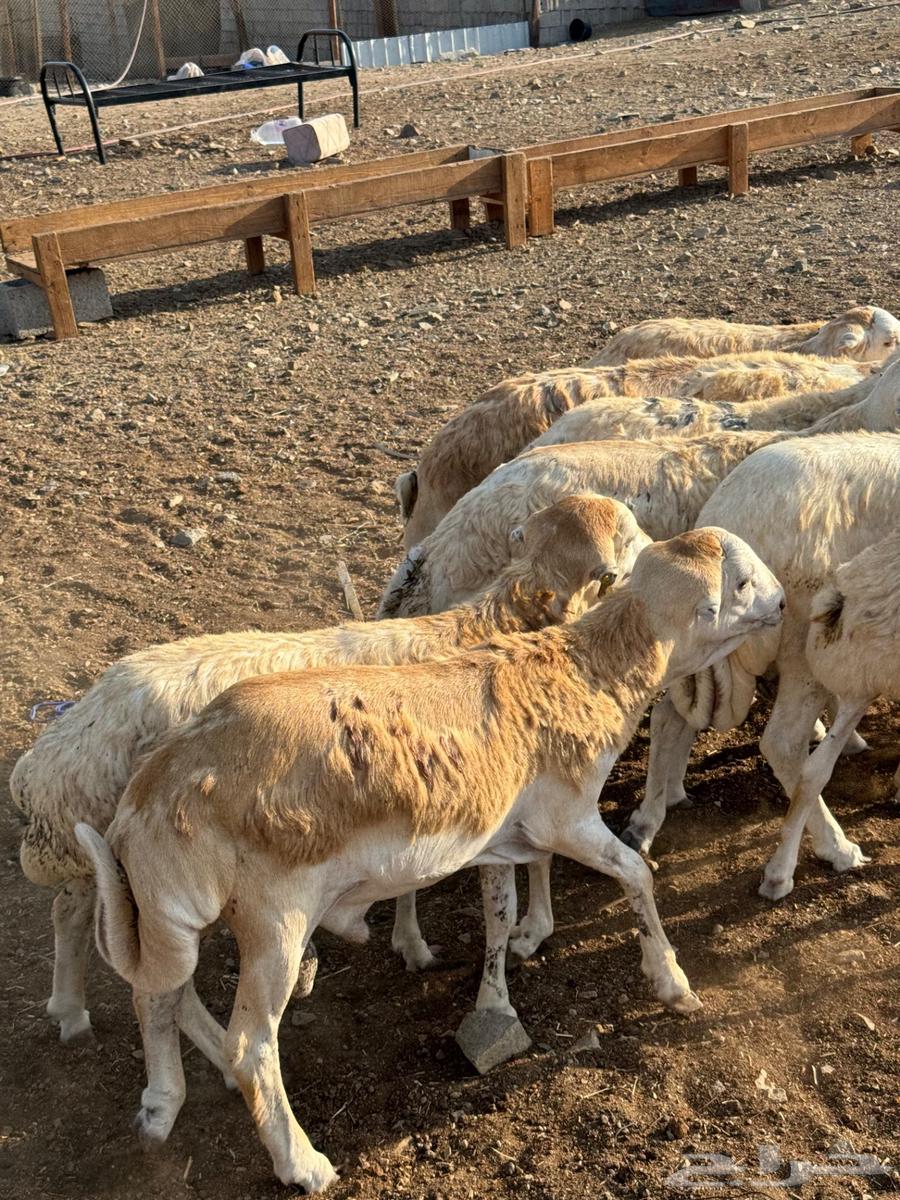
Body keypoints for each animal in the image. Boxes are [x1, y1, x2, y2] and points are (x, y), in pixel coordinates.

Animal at [11, 497, 638, 1046]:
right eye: (631, 536)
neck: (496, 622)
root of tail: (67, 743)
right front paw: (472, 965)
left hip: (110, 857)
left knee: (71, 910)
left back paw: (68, 1010)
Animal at [75, 529, 785, 1190]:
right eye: (742, 583)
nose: (783, 604)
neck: (588, 675)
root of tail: (153, 795)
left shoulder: (499, 837)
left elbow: (500, 917)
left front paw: (498, 1001)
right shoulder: (569, 820)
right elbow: (639, 872)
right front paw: (672, 983)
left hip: (175, 914)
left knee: (159, 995)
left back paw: (163, 1104)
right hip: (275, 920)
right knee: (249, 1045)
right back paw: (301, 1162)